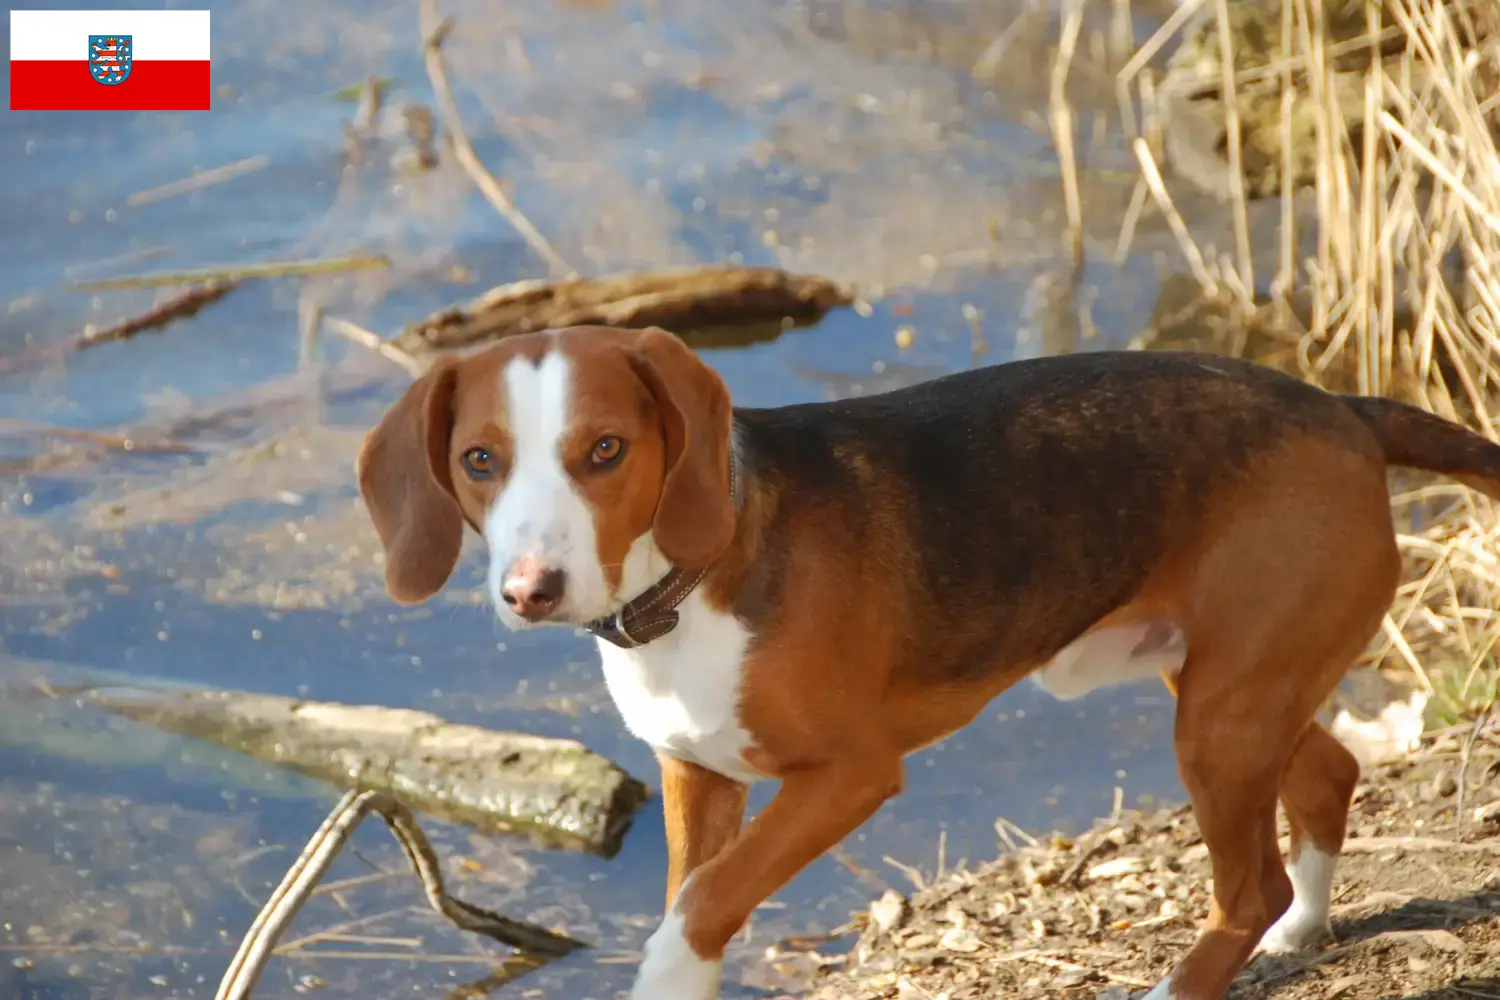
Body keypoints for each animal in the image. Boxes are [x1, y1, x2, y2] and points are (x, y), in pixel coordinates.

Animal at [354, 328, 1500, 1000]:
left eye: (605, 451)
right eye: (479, 461)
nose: (531, 589)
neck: (688, 585)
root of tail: (1341, 409)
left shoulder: (849, 777)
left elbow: (703, 906)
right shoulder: (698, 775)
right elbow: (695, 890)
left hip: (1219, 722)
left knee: (1247, 883)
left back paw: (1196, 975)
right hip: (1227, 688)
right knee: (1329, 777)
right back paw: (1304, 928)